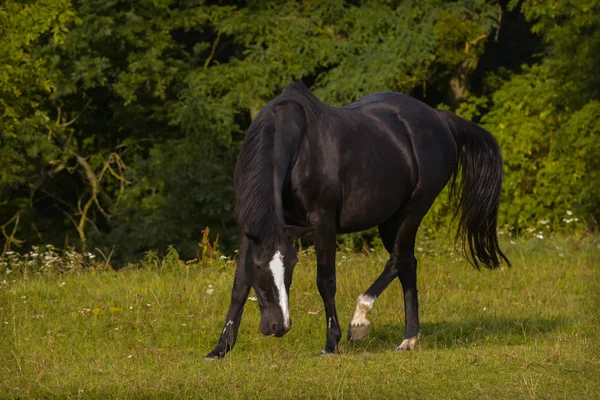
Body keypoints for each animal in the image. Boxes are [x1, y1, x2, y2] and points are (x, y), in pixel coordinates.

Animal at [204, 82, 508, 360]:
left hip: (414, 209)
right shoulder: (251, 229)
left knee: (397, 260)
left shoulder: (322, 221)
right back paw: (408, 339)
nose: (279, 326)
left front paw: (331, 343)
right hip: (390, 220)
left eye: (291, 266)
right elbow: (239, 285)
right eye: (260, 267)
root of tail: (439, 119)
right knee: (408, 264)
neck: (299, 149)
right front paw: (220, 348)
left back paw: (360, 320)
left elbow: (325, 280)